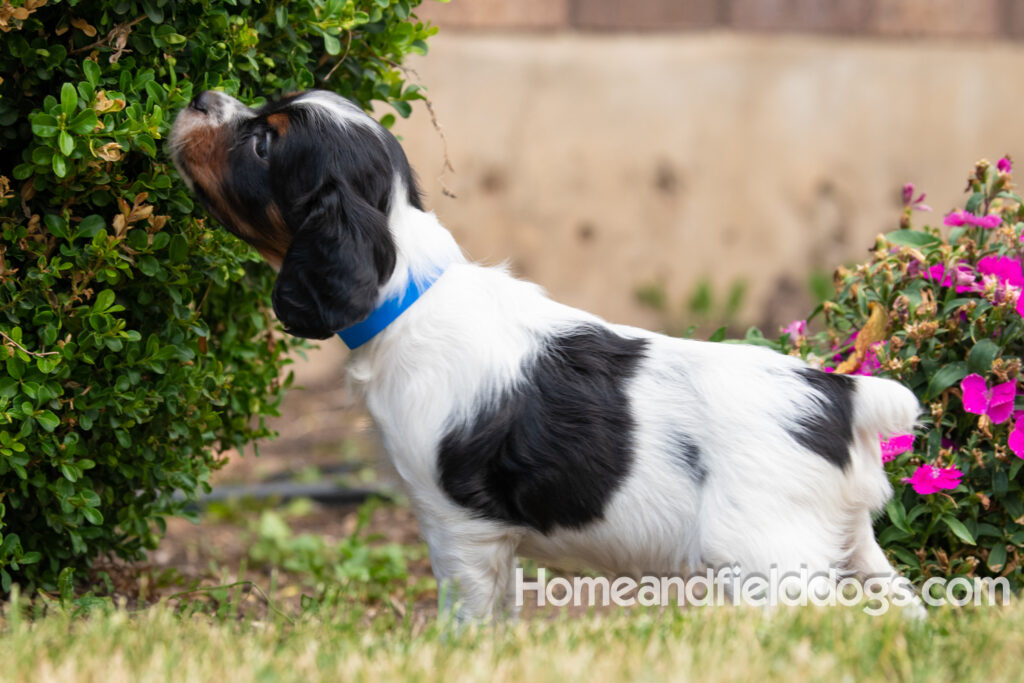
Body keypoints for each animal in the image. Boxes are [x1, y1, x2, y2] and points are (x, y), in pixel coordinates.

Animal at [167, 89, 921, 618]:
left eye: (263, 144)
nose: (200, 96)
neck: (410, 289)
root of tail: (839, 394)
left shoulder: (459, 527)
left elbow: (467, 615)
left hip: (772, 561)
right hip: (853, 544)